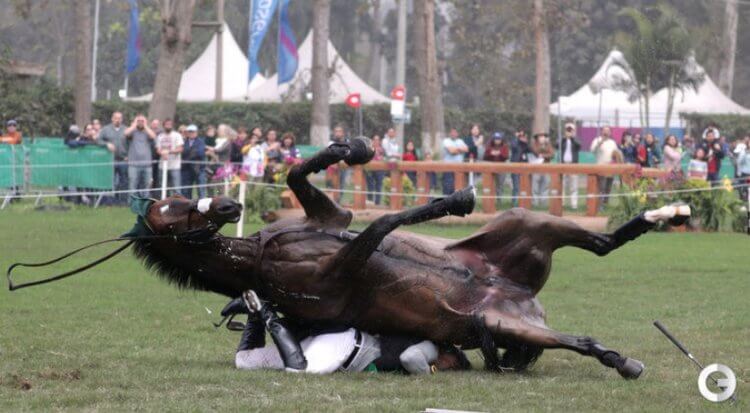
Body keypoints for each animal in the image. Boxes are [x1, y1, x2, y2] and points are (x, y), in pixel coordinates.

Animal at [131, 137, 692, 378]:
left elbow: (299, 175)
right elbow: (382, 223)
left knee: (603, 244)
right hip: (505, 324)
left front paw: (351, 148)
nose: (227, 205)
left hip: (523, 224)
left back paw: (668, 210)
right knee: (583, 338)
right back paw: (624, 362)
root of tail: (524, 301)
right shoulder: (345, 266)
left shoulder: (331, 218)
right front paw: (453, 199)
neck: (259, 257)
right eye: (165, 209)